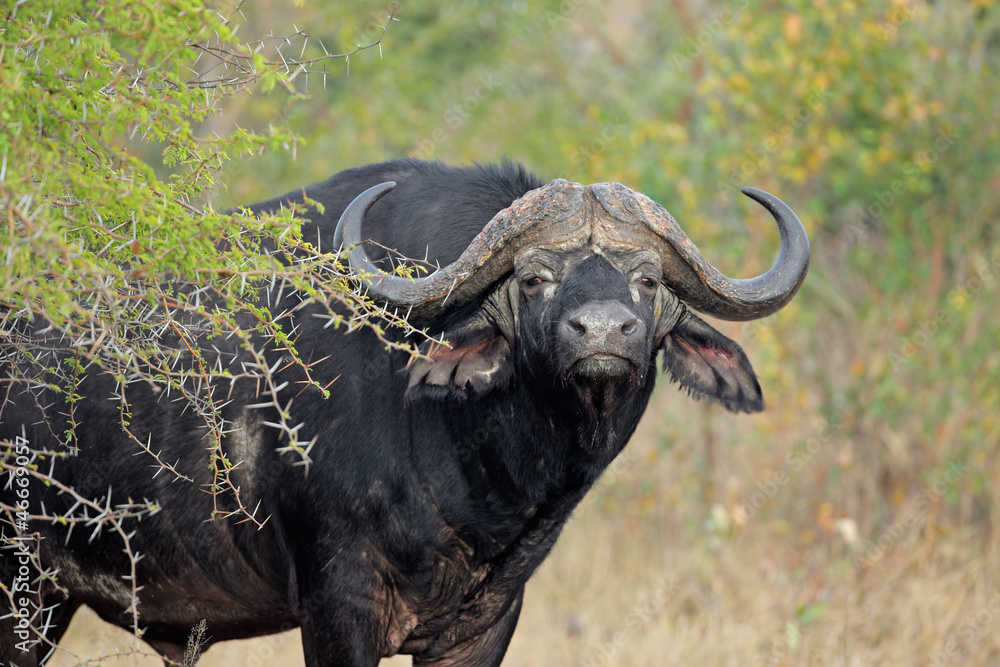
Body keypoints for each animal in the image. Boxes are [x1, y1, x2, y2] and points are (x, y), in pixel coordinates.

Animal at [0, 159, 809, 666]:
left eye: (647, 280)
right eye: (534, 278)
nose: (606, 333)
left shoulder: (484, 627)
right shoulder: (339, 610)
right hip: (23, 596)